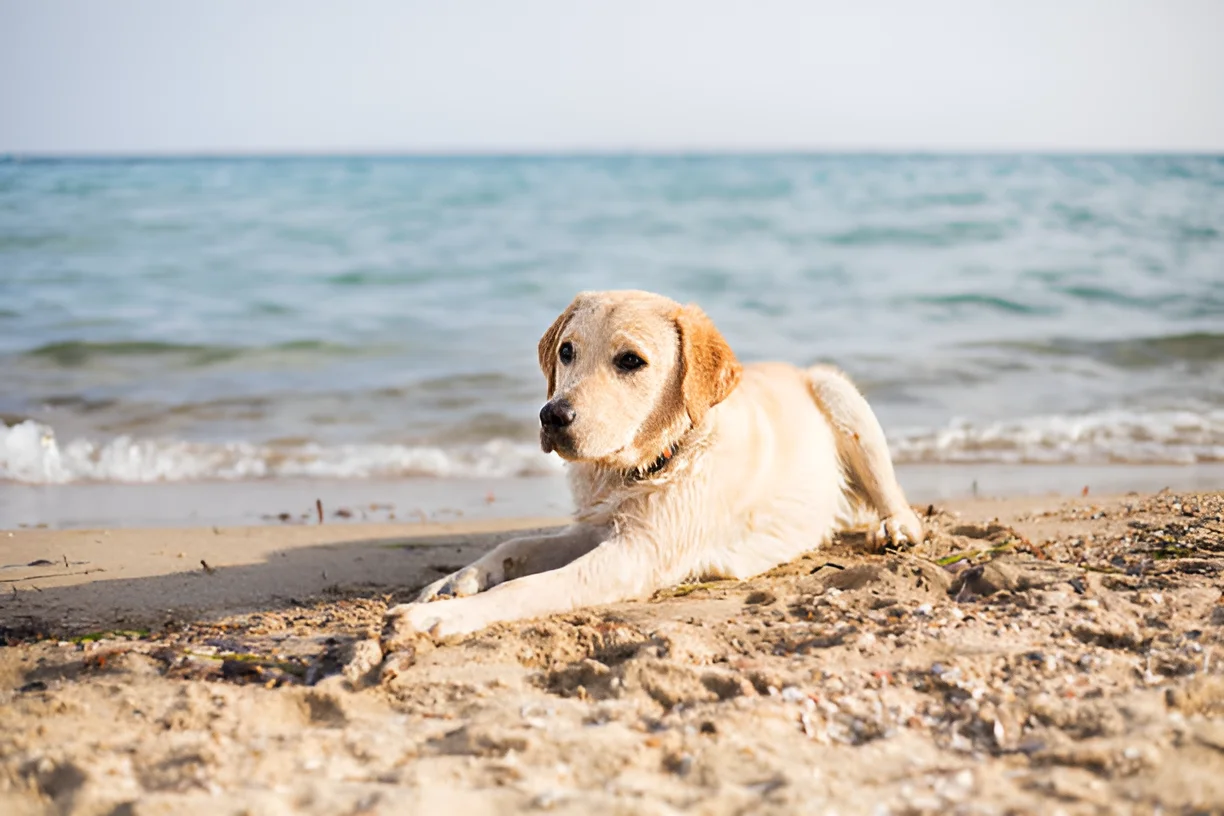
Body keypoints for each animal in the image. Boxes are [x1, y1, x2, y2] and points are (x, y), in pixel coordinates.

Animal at [381, 289, 920, 645]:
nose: (552, 416)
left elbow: (529, 586)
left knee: (895, 496)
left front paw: (443, 619)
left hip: (838, 393)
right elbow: (516, 547)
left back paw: (895, 527)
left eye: (631, 361)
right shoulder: (599, 528)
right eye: (567, 351)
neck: (655, 460)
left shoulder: (637, 554)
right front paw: (455, 582)